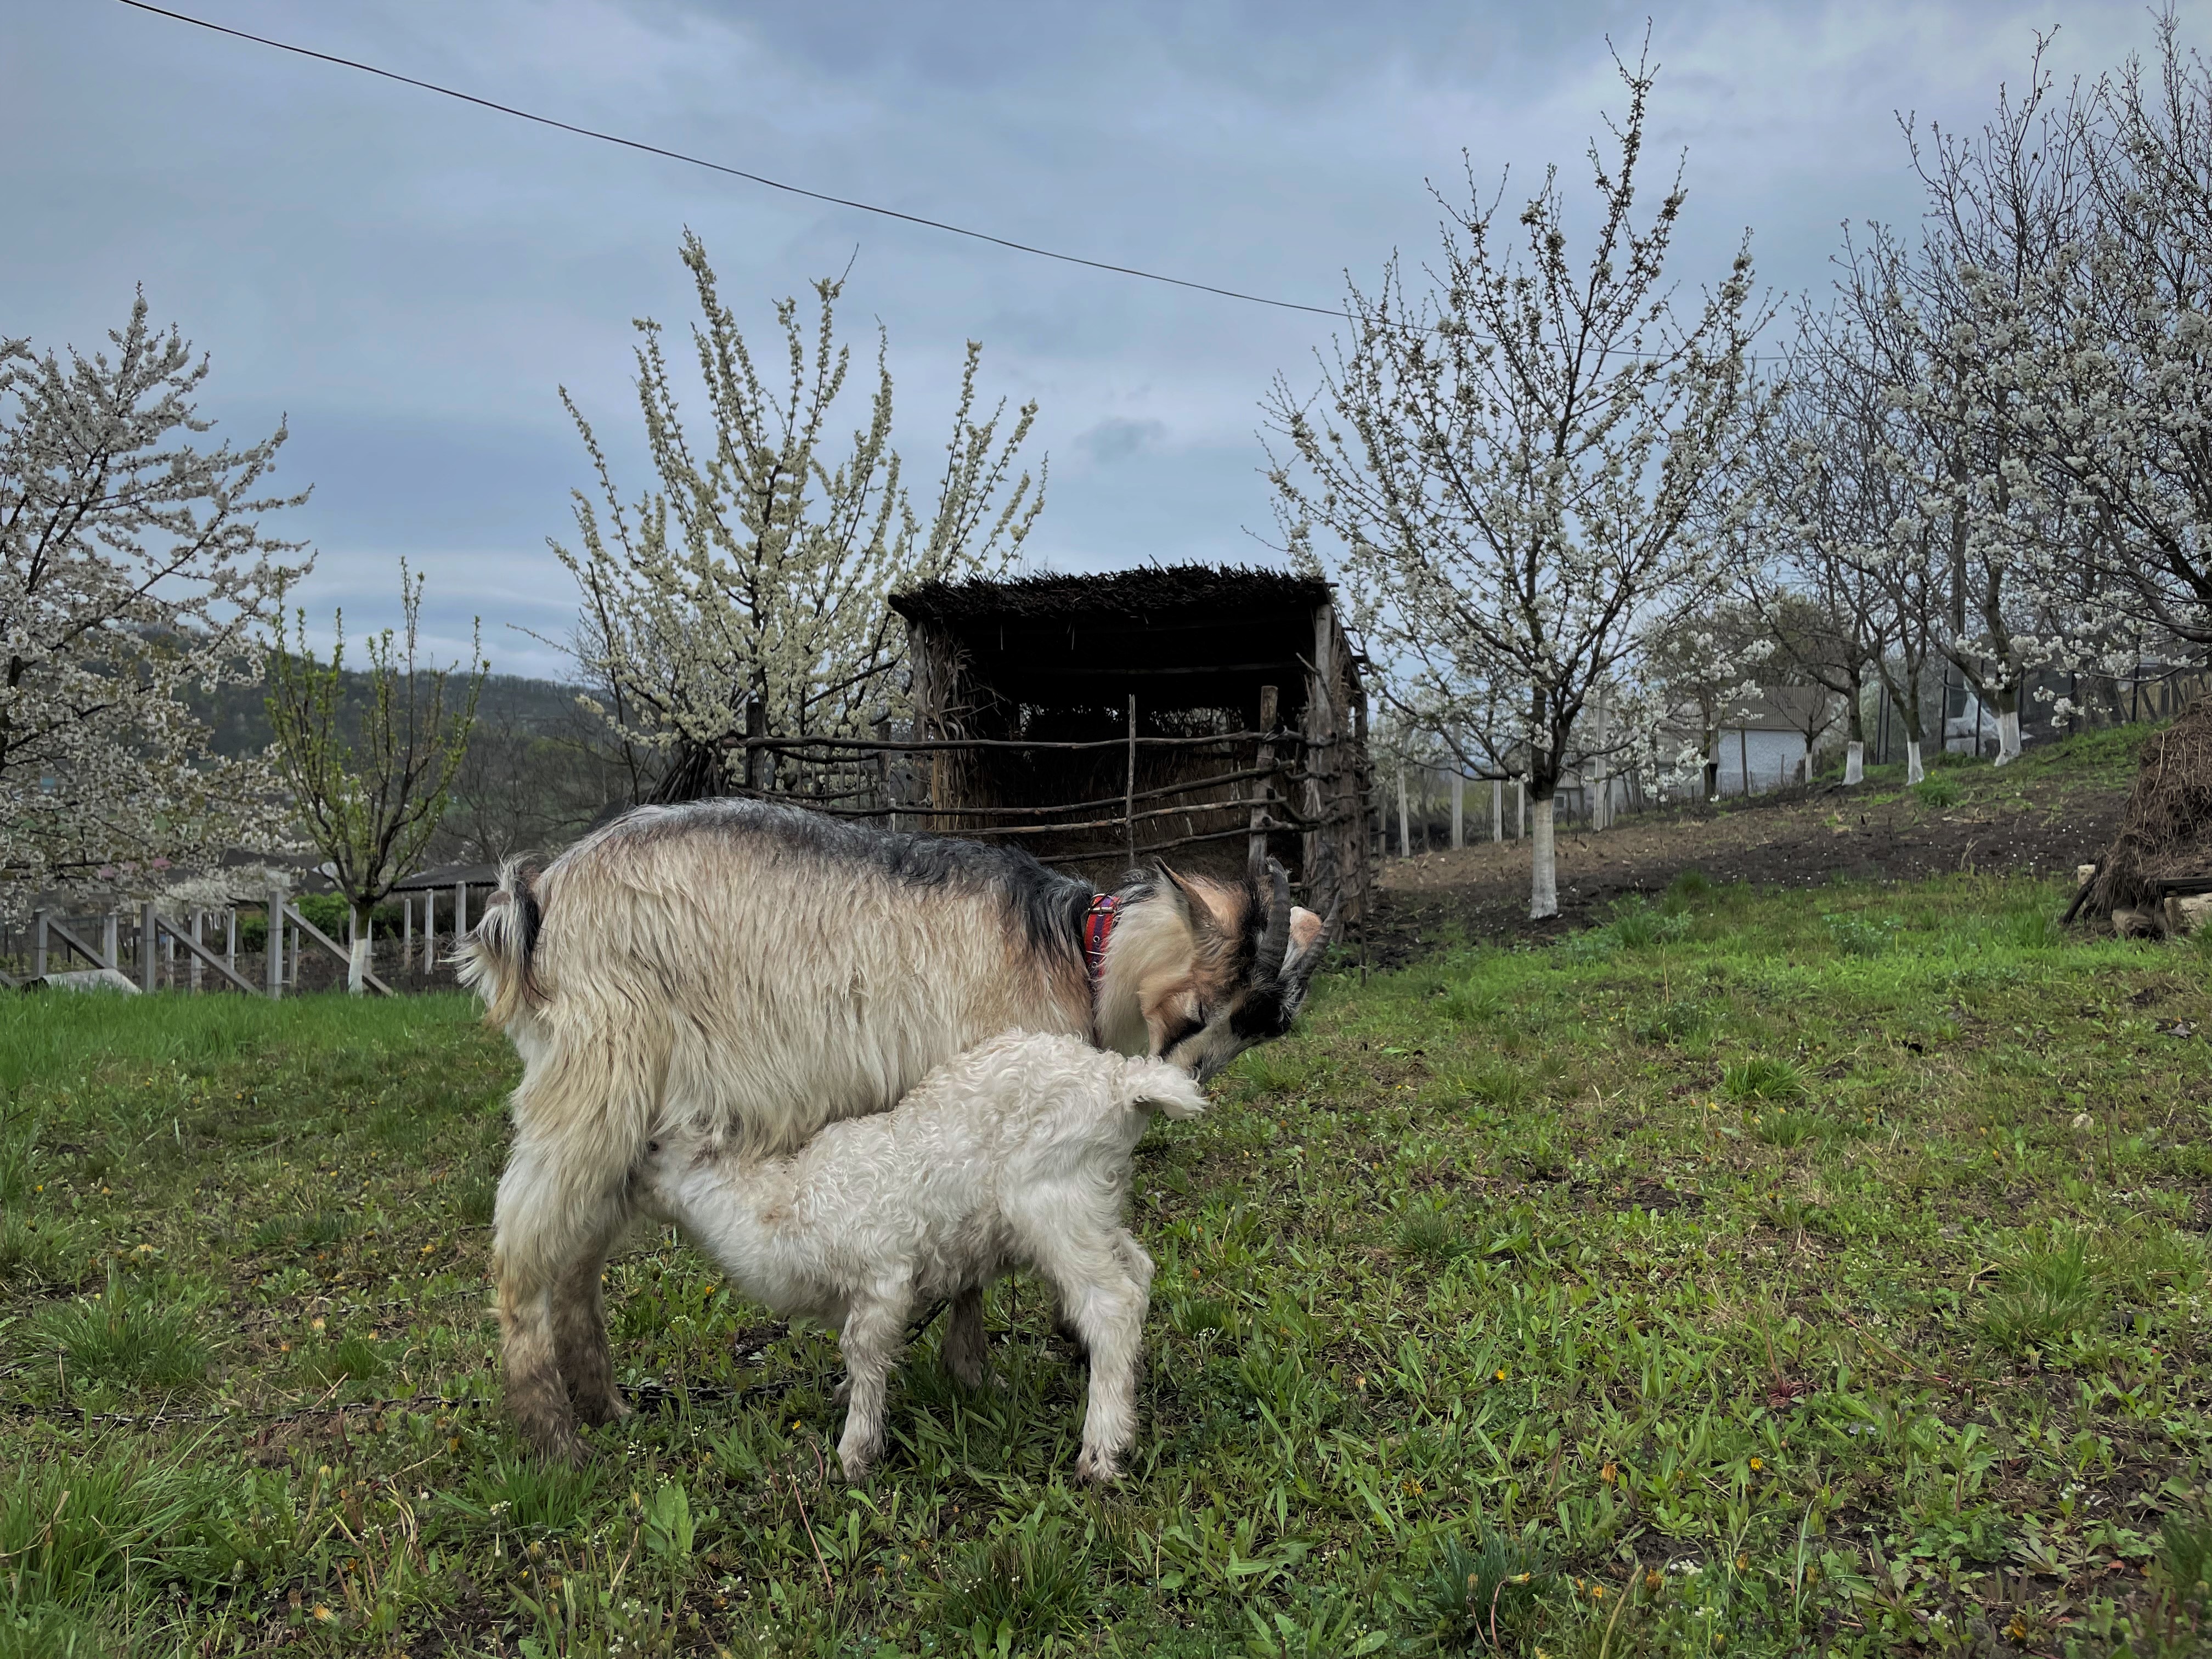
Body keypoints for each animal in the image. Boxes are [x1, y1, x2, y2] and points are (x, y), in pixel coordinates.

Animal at [624, 1035, 1212, 1486]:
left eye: (653, 1146)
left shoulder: (882, 1273)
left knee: (1111, 1303)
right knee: (1138, 1269)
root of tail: (1120, 1084)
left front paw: (855, 1452)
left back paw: (1100, 1451)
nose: (622, 1182)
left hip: (1053, 1201)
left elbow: (863, 1351)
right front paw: (847, 1399)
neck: (787, 1207)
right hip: (1092, 1206)